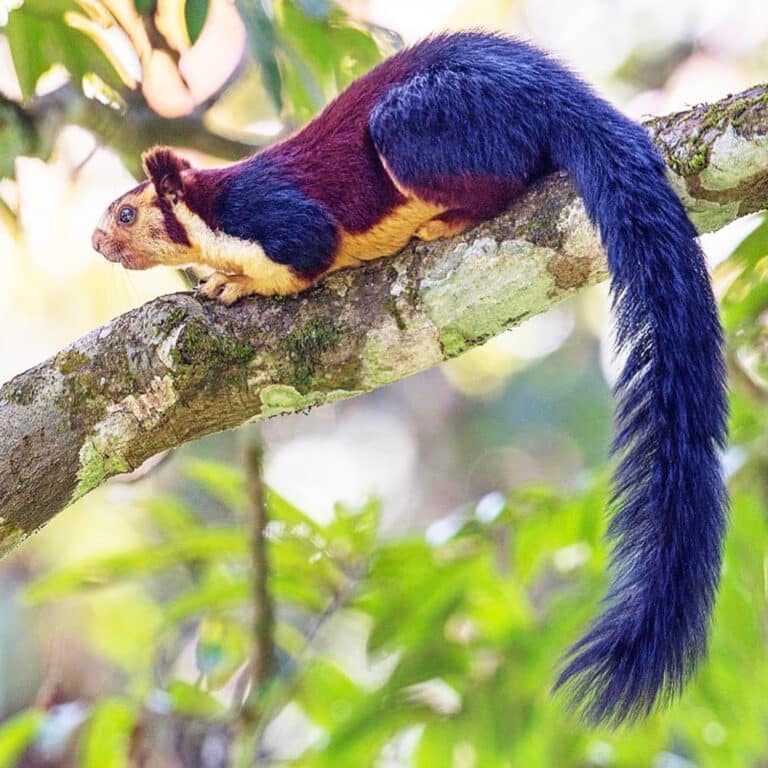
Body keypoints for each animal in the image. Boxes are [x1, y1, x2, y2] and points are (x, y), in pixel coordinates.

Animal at [90, 31, 728, 728]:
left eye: (127, 214)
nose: (95, 241)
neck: (209, 214)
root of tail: (556, 92)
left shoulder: (272, 215)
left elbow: (306, 255)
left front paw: (236, 283)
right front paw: (216, 276)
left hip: (424, 123)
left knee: (504, 177)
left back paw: (446, 219)